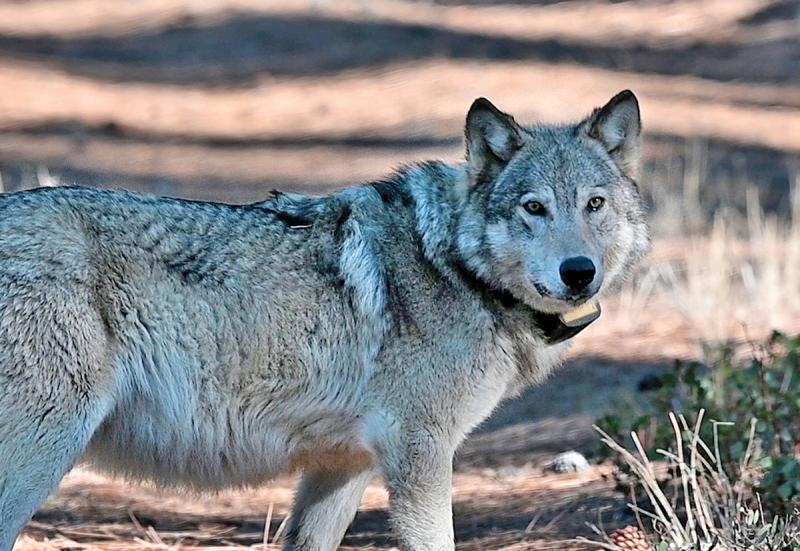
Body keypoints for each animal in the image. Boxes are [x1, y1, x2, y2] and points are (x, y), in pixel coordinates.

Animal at [0, 91, 648, 550]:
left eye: (594, 204)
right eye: (533, 208)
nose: (579, 272)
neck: (453, 265)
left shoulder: (343, 465)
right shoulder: (420, 452)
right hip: (43, 451)